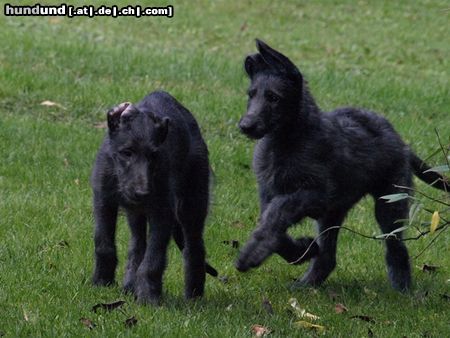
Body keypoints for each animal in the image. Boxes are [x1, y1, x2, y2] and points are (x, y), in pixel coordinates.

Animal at [90, 90, 217, 304]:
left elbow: (153, 259)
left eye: (153, 156)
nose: (143, 193)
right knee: (137, 244)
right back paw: (129, 286)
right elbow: (103, 243)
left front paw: (149, 296)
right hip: (136, 214)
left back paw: (194, 295)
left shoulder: (163, 213)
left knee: (194, 248)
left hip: (192, 203)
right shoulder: (103, 202)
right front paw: (101, 281)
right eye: (126, 152)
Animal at [237, 39, 448, 292]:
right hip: (334, 214)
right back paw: (307, 283)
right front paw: (302, 249)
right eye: (251, 95)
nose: (246, 125)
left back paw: (403, 290)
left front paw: (251, 255)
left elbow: (278, 212)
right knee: (328, 257)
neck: (286, 141)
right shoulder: (269, 195)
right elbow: (272, 228)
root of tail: (402, 143)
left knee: (397, 247)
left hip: (389, 202)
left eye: (274, 98)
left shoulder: (317, 194)